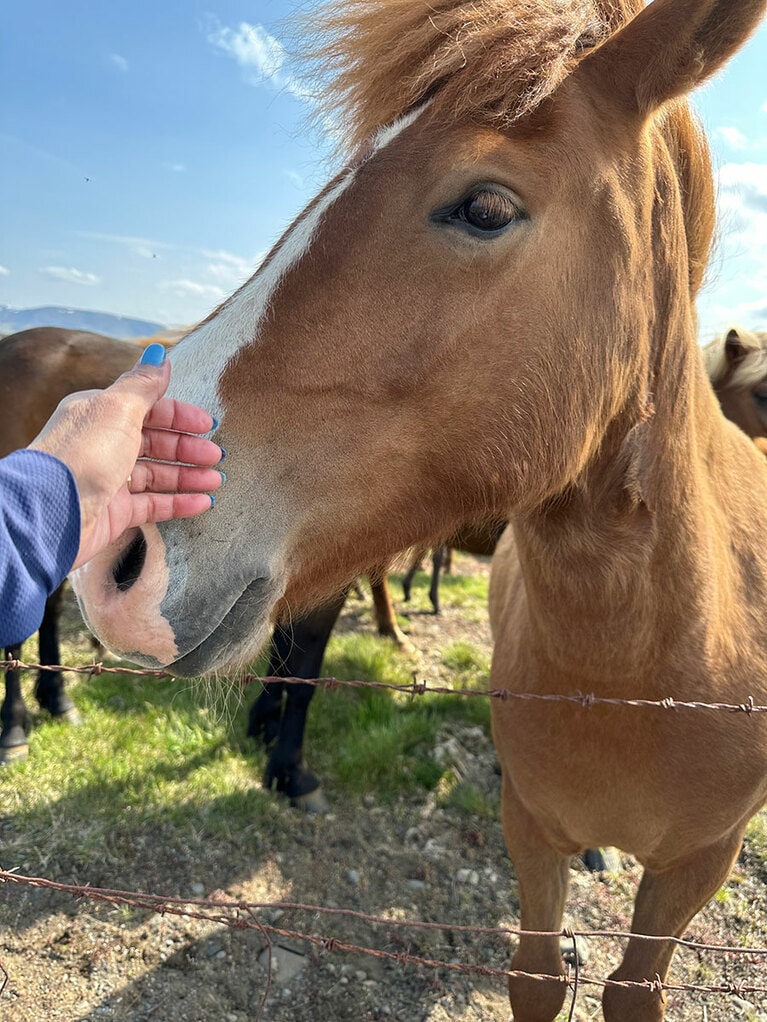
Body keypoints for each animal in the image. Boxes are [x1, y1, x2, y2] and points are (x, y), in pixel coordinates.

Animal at [70, 1, 767, 1018]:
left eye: (485, 207)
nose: (117, 555)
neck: (652, 673)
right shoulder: (529, 831)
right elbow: (534, 976)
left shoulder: (699, 865)